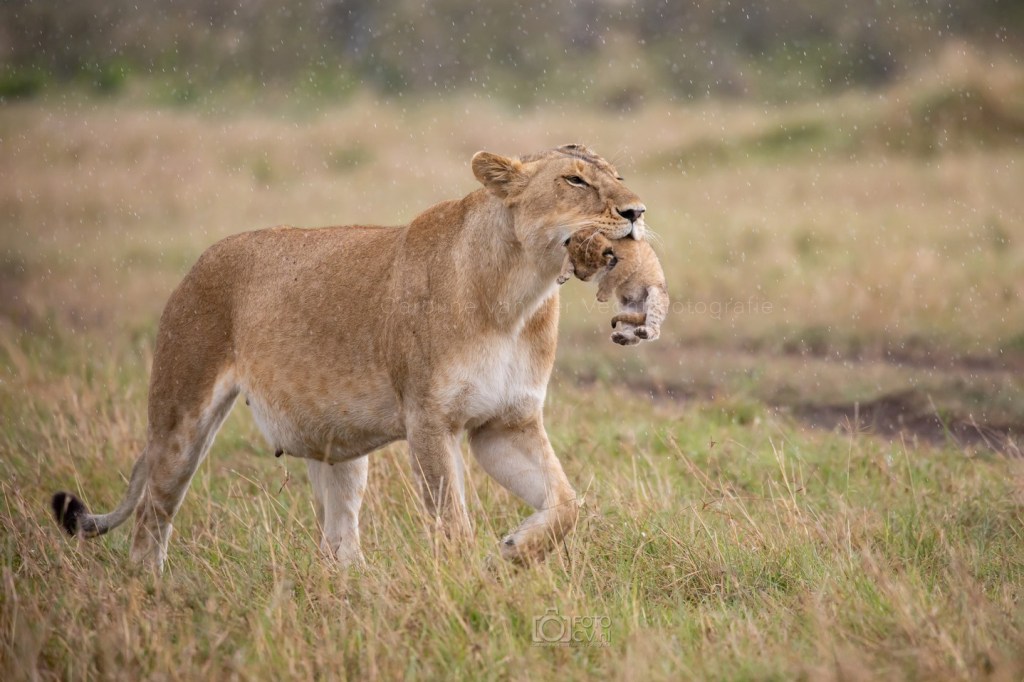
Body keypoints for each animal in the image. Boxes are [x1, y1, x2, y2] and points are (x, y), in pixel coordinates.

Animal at [50, 144, 649, 572]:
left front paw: (513, 552)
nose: (637, 211)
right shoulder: (429, 420)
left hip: (336, 449)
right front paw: (465, 583)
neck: (519, 296)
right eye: (574, 180)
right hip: (180, 417)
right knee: (151, 514)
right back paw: (148, 588)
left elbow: (566, 505)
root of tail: (198, 262)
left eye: (618, 174)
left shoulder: (506, 424)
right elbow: (451, 521)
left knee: (336, 544)